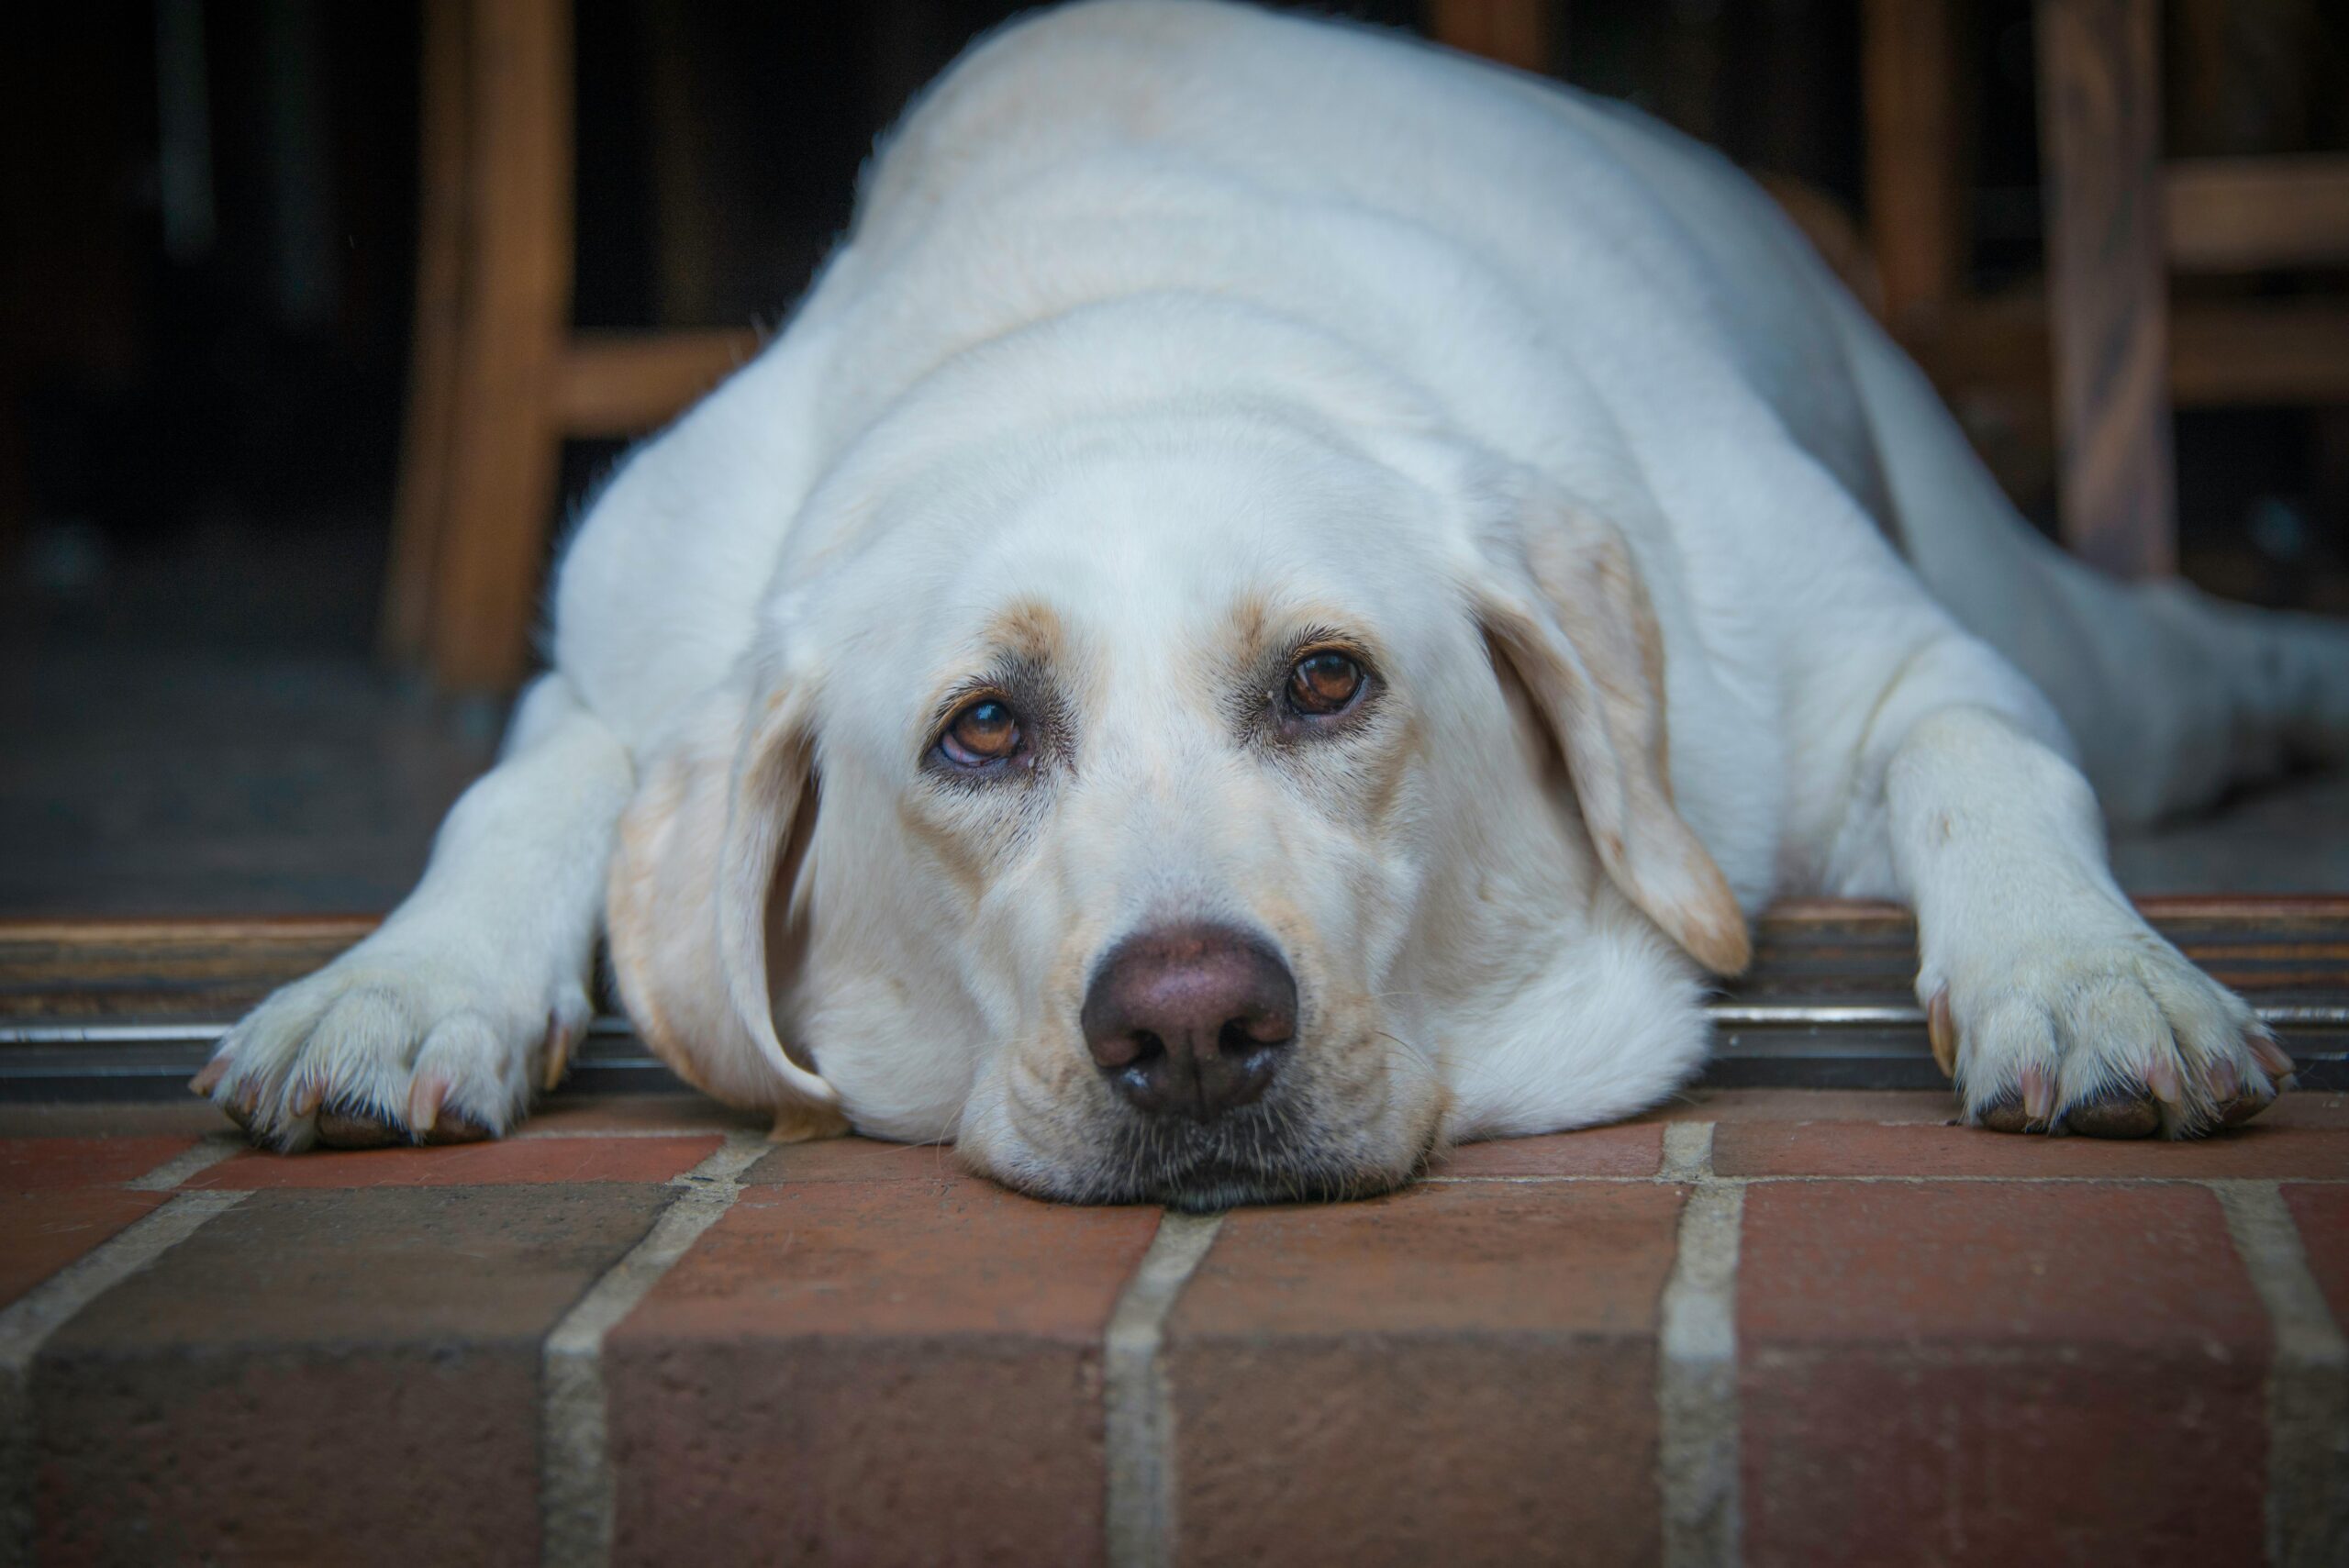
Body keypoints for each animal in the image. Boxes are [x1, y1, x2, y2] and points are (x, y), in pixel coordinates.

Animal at [197, 3, 2330, 1201]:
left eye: (1325, 681)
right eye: (981, 728)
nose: (1193, 1023)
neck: (1112, 319)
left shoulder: (1895, 668)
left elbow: (1990, 772)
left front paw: (2092, 975)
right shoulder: (618, 654)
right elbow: (519, 790)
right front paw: (396, 983)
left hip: (2063, 619)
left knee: (2157, 665)